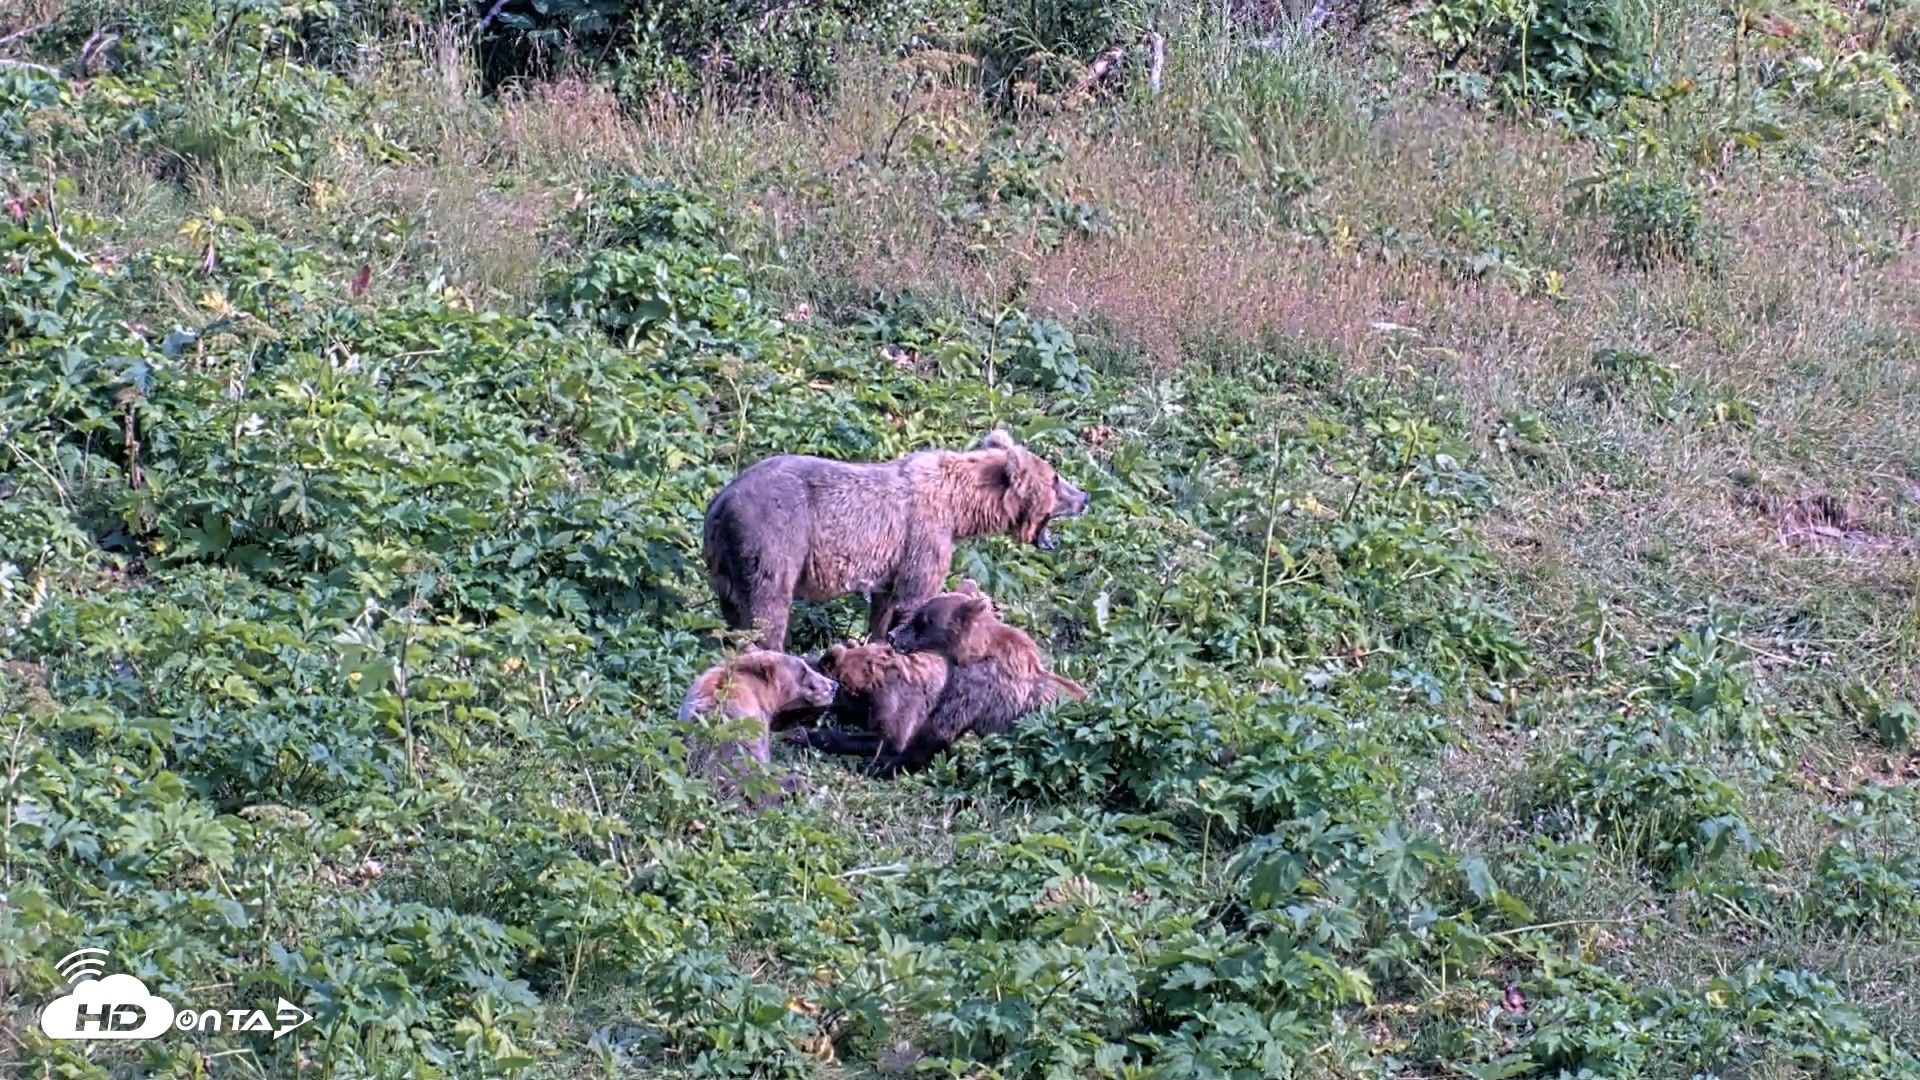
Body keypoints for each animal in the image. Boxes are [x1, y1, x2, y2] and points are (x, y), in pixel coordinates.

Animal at [701, 430, 1090, 651]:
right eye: (1056, 478)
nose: (1084, 497)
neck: (959, 508)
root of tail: (722, 500)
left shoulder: (892, 560)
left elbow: (885, 606)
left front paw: (875, 641)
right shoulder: (924, 534)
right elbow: (915, 596)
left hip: (725, 560)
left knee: (734, 609)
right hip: (774, 535)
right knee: (768, 607)